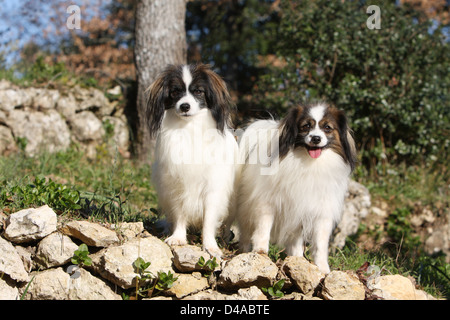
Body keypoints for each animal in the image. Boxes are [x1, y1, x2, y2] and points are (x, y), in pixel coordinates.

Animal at [148, 63, 239, 258]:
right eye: (175, 92)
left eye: (198, 91)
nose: (184, 106)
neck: (189, 128)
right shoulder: (177, 185)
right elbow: (180, 213)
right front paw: (178, 238)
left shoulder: (213, 188)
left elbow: (209, 219)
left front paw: (210, 246)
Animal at [236, 102, 356, 272]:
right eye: (306, 126)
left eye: (327, 127)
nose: (316, 138)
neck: (310, 163)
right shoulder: (267, 203)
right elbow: (263, 229)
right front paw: (260, 252)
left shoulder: (319, 212)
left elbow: (320, 244)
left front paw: (323, 268)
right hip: (246, 207)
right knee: (246, 231)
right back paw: (244, 250)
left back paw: (297, 258)